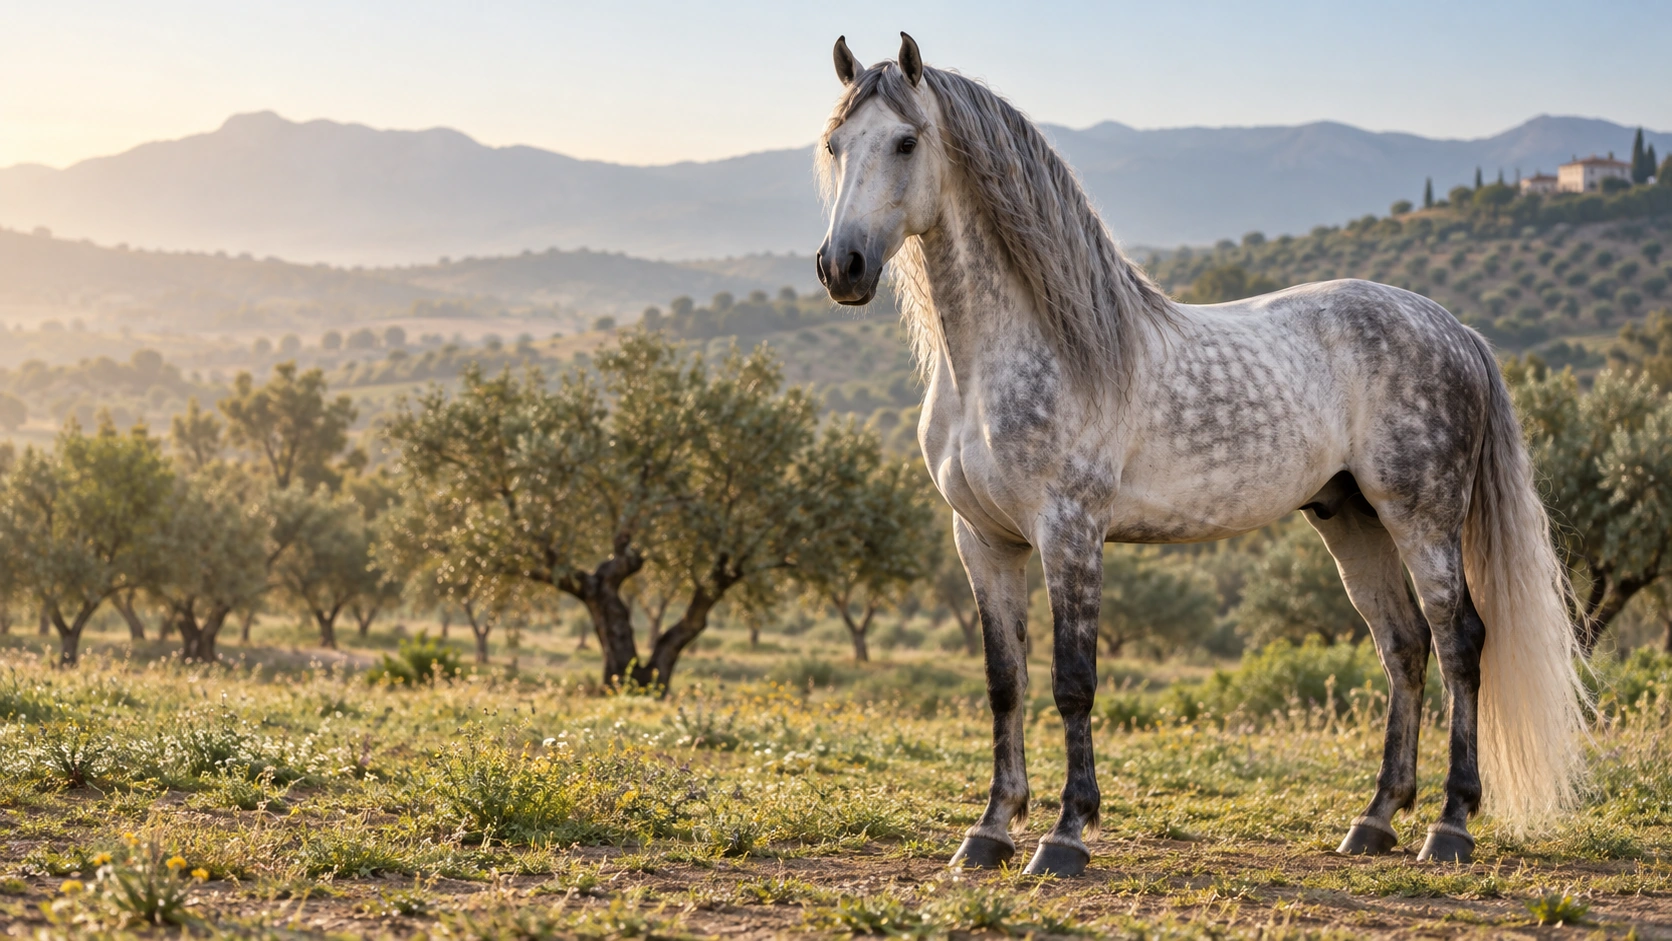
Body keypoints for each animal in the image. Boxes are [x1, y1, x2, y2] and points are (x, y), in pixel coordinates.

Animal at [814, 33, 1588, 876]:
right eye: (834, 145)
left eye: (906, 141)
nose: (841, 266)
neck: (1008, 358)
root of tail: (1456, 329)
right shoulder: (983, 540)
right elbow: (1004, 682)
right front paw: (989, 831)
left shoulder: (1070, 532)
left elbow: (1072, 681)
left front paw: (1065, 834)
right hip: (1352, 521)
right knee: (1404, 648)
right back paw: (1375, 820)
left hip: (1422, 517)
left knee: (1459, 642)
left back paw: (1449, 826)